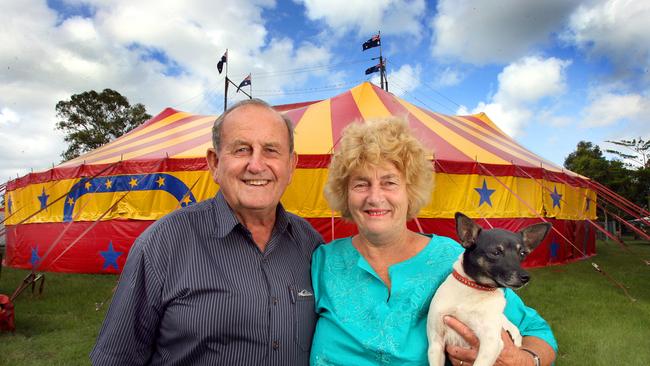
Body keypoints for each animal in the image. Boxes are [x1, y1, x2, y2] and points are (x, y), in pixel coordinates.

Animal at [428, 212, 548, 366]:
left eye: (522, 254)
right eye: (496, 252)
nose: (525, 277)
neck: (475, 289)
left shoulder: (491, 344)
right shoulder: (435, 343)